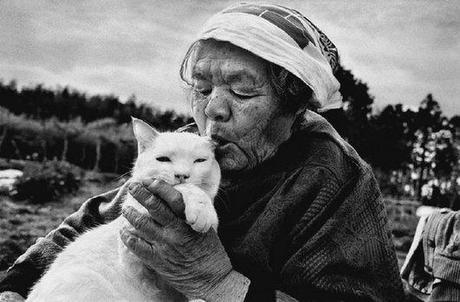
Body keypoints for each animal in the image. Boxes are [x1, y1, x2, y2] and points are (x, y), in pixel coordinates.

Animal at [26, 118, 221, 302]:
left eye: (199, 161)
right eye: (163, 159)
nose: (182, 175)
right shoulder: (132, 254)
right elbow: (183, 189)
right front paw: (201, 208)